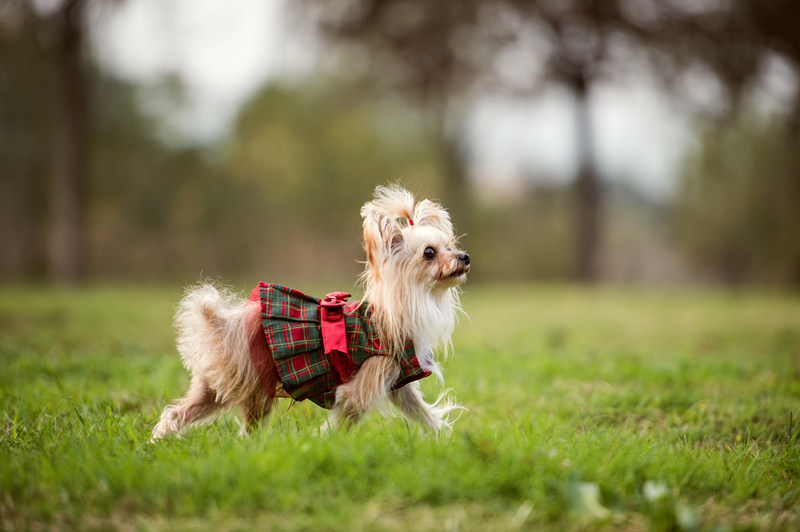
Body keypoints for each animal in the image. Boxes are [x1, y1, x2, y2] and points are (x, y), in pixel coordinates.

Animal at [152, 185, 468, 438]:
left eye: (451, 246)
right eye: (429, 253)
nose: (464, 257)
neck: (404, 307)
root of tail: (223, 322)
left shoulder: (400, 387)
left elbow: (422, 412)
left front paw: (444, 439)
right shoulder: (360, 388)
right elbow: (346, 419)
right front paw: (327, 443)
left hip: (218, 388)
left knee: (181, 414)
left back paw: (161, 440)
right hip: (250, 384)